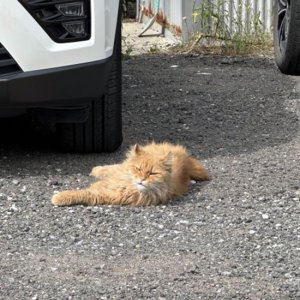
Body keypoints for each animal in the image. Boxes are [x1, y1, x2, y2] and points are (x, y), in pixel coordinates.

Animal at [51, 142, 210, 206]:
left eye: (153, 173)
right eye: (138, 169)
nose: (142, 179)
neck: (129, 185)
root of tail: (186, 158)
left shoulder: (106, 195)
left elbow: (82, 193)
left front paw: (59, 197)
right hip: (122, 165)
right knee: (115, 167)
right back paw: (96, 169)